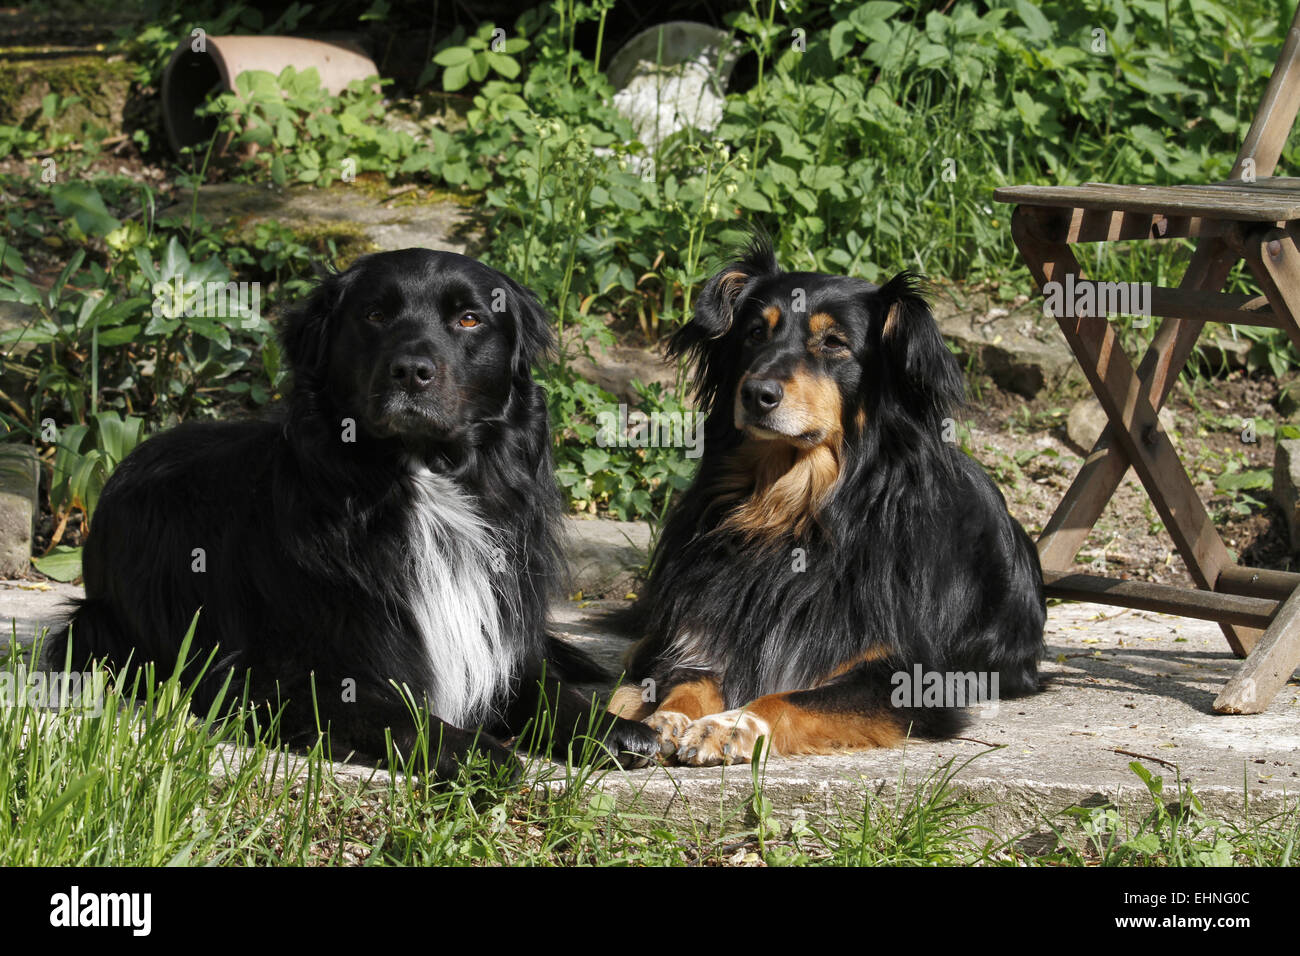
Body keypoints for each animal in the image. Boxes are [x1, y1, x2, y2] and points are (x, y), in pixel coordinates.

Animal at [45, 247, 660, 780]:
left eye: (468, 319)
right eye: (374, 314)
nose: (411, 371)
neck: (420, 485)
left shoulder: (499, 640)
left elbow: (549, 689)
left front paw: (609, 728)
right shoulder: (279, 677)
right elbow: (400, 713)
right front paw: (478, 752)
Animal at [608, 239, 1045, 770]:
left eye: (834, 343)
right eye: (755, 333)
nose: (756, 393)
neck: (793, 509)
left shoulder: (908, 676)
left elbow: (790, 698)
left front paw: (732, 725)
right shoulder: (704, 632)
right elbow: (688, 677)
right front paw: (663, 718)